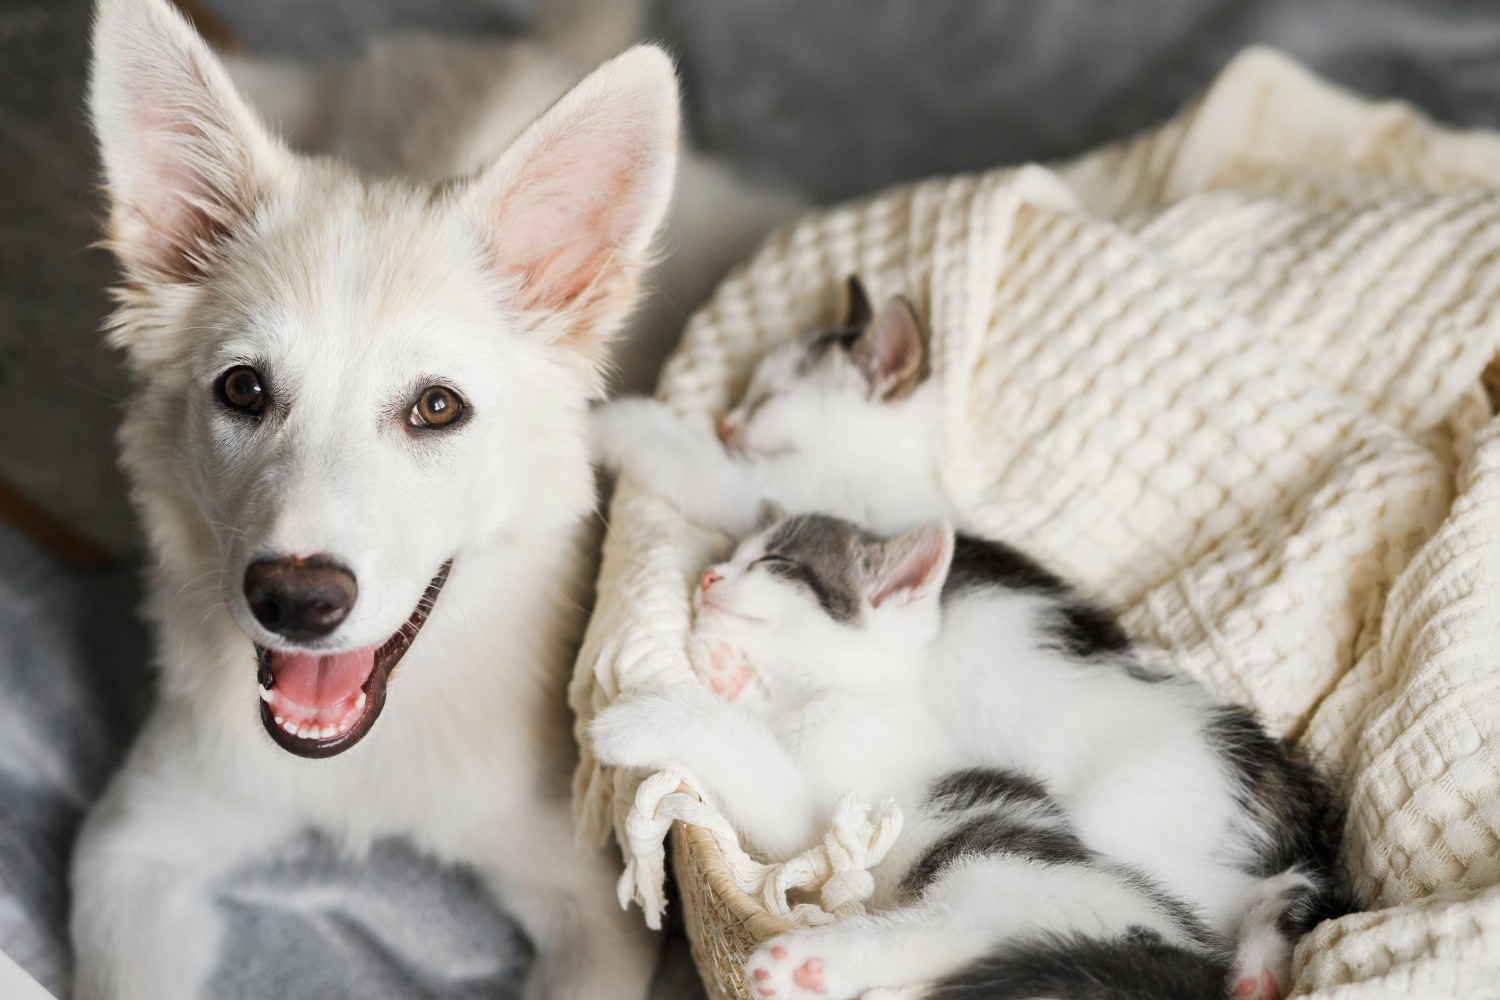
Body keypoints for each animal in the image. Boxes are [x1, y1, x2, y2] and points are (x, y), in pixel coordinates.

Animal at [591, 512, 1356, 1000]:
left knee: (967, 928)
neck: (839, 691)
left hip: (1014, 854)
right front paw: (722, 667)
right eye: (734, 555)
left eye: (775, 563)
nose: (710, 577)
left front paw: (638, 719)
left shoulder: (830, 805)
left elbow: (747, 753)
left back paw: (809, 964)